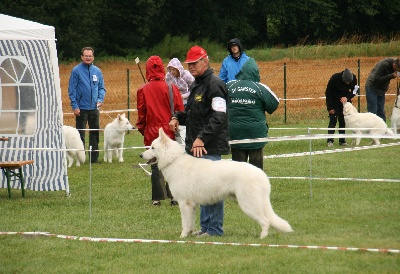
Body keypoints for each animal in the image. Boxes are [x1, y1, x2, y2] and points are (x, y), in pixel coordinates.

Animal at [141, 128, 294, 238]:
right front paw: (190, 234)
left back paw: (262, 238)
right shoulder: (192, 206)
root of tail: (261, 174)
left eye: (152, 147)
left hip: (248, 205)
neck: (174, 160)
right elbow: (190, 223)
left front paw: (182, 237)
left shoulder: (185, 203)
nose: (140, 155)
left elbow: (185, 224)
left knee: (265, 221)